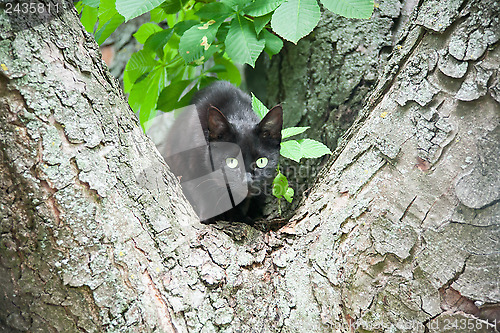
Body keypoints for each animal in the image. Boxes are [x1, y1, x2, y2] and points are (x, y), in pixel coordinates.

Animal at [162, 81, 284, 224]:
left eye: (261, 161)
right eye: (231, 162)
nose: (247, 180)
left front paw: (239, 217)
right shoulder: (186, 165)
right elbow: (199, 189)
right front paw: (208, 215)